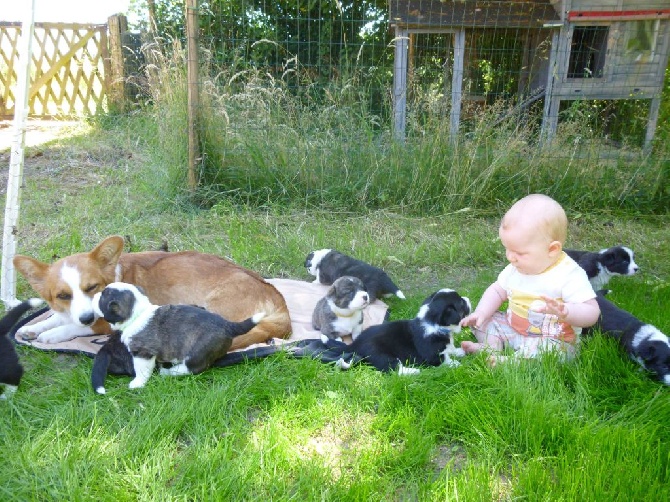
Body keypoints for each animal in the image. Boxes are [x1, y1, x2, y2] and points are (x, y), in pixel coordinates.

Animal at [12, 235, 292, 350]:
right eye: (63, 296)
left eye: (92, 288)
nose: (86, 317)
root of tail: (280, 304)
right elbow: (55, 317)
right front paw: (32, 328)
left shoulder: (103, 324)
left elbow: (72, 327)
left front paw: (51, 335)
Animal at [92, 280, 266, 390]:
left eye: (102, 296)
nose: (94, 296)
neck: (138, 313)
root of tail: (228, 325)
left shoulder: (142, 353)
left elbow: (142, 370)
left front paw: (137, 384)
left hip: (196, 354)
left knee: (191, 369)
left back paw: (168, 372)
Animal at [322, 288, 470, 374]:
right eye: (461, 303)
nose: (468, 298)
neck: (433, 322)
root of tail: (355, 344)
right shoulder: (432, 355)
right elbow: (444, 359)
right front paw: (455, 364)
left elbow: (450, 349)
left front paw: (459, 351)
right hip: (382, 355)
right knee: (395, 370)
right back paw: (413, 371)